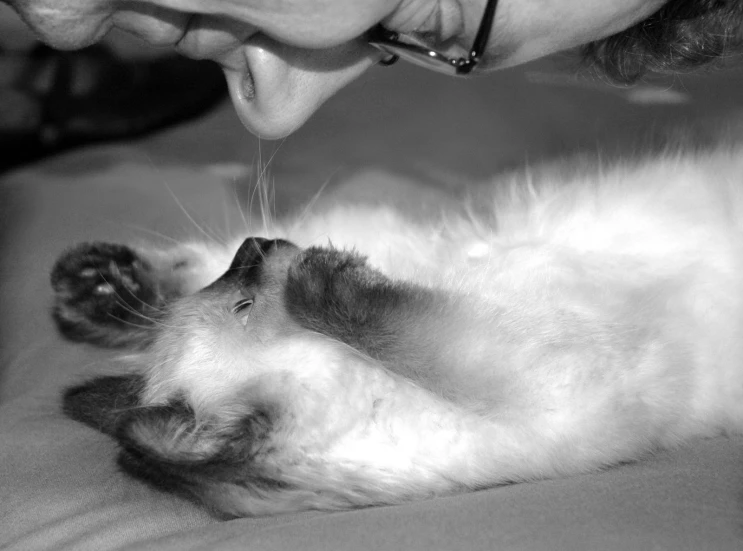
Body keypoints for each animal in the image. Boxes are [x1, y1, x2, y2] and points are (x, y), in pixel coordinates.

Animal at [55, 146, 743, 516]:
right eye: (245, 303)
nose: (258, 244)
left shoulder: (407, 251)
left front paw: (100, 287)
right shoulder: (543, 371)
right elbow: (413, 329)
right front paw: (317, 275)